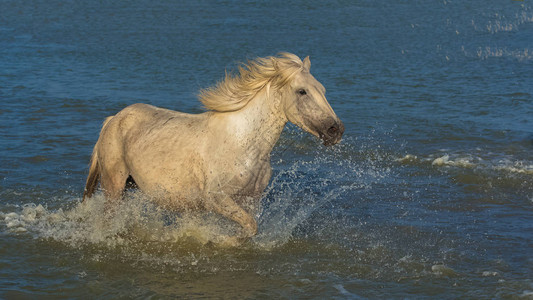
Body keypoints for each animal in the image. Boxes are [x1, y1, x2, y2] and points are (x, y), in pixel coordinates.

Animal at [81, 52, 342, 240]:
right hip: (113, 186)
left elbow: (251, 227)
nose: (336, 130)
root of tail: (113, 119)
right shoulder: (216, 199)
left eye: (323, 90)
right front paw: (221, 242)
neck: (245, 144)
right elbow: (250, 227)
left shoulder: (250, 199)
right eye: (302, 91)